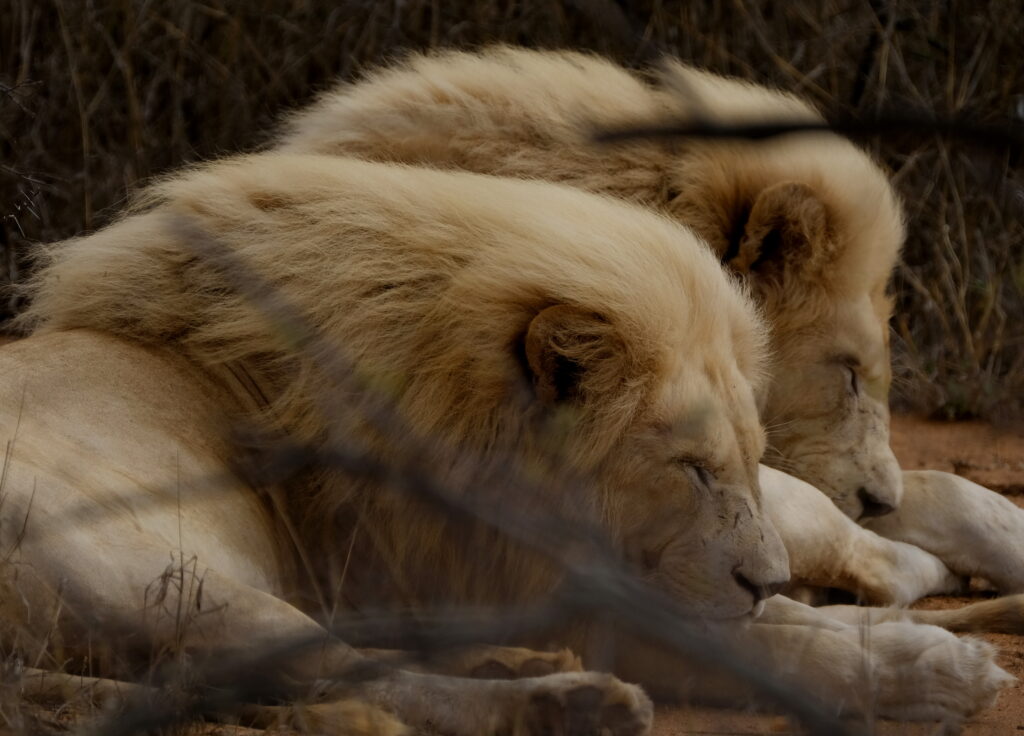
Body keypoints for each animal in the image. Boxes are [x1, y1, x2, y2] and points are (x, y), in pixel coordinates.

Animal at [6, 152, 1015, 728]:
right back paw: (567, 703)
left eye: (736, 462)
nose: (762, 580)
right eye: (688, 471)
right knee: (356, 683)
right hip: (177, 585)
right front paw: (930, 669)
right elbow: (759, 649)